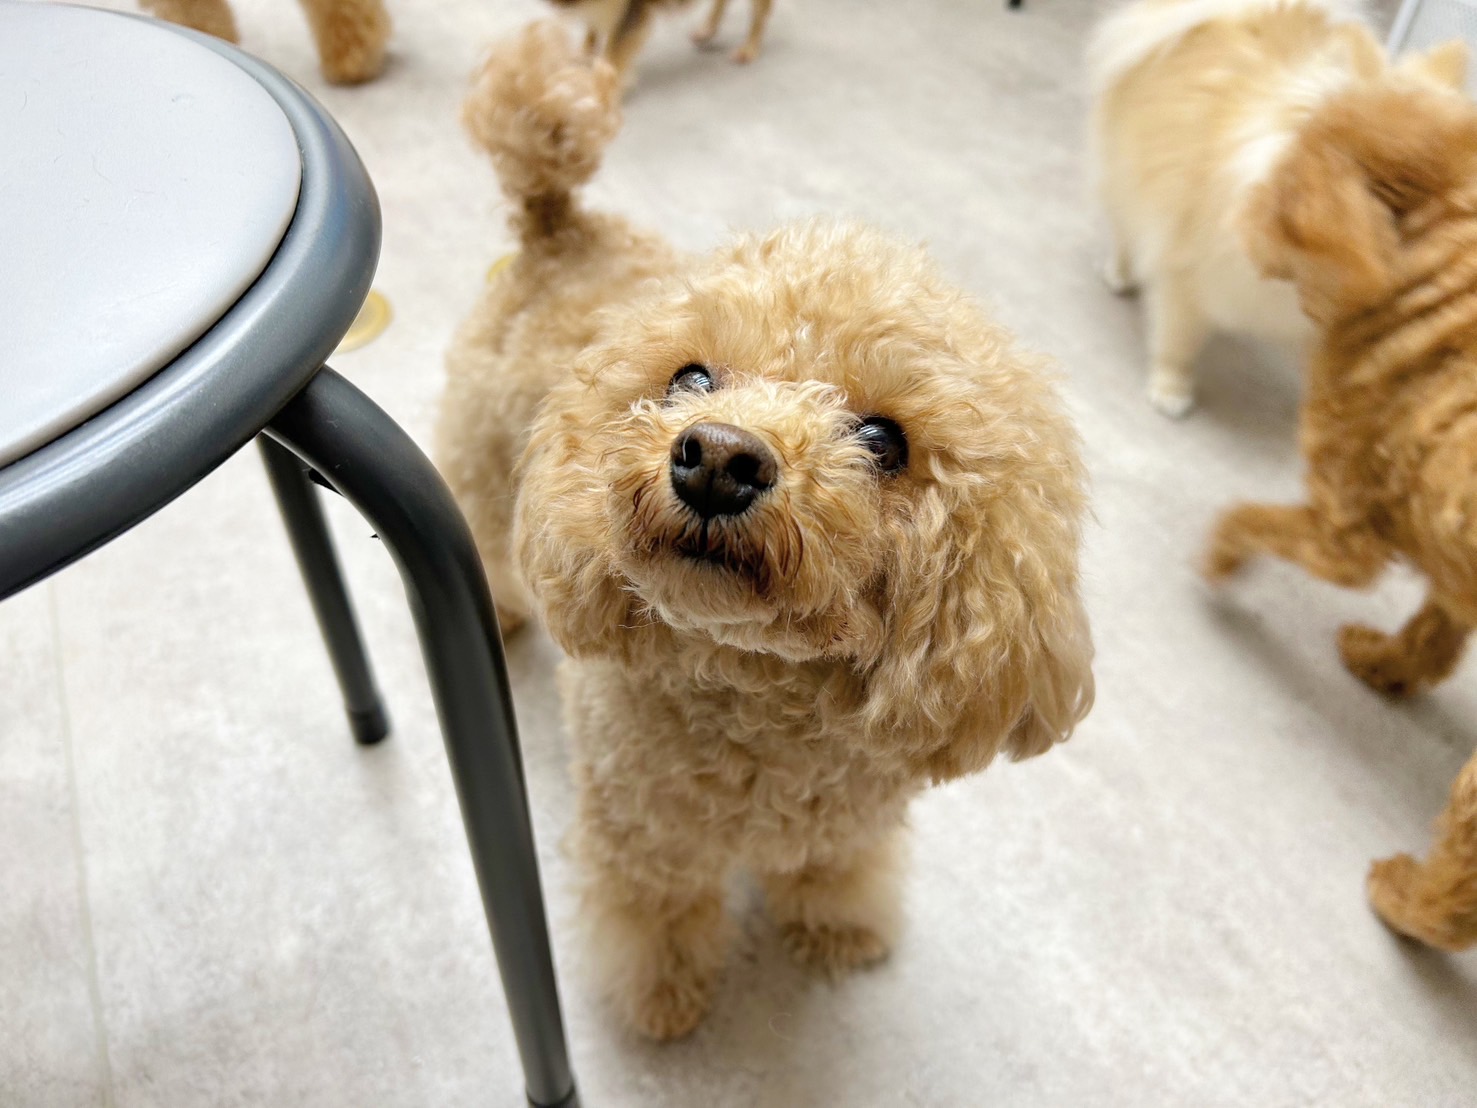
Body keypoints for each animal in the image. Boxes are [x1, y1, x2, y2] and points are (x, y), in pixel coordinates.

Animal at [438, 22, 1095, 1038]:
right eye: (691, 379)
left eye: (883, 440)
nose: (717, 460)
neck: (758, 709)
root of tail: (560, 225)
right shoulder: (645, 838)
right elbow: (659, 915)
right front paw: (664, 1000)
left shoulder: (848, 821)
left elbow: (833, 870)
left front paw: (837, 931)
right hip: (480, 450)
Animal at [547, 0, 773, 82]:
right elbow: (592, 30)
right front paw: (582, 55)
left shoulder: (630, 13)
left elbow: (611, 58)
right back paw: (707, 29)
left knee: (761, 10)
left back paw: (749, 48)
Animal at [1088, 0, 1465, 417]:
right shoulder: (1187, 272)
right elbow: (1177, 339)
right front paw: (1171, 388)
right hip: (1124, 169)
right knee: (1124, 222)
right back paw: (1121, 272)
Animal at [1203, 75, 1477, 950]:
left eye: (1288, 183)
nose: (1240, 209)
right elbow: (1432, 626)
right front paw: (1387, 664)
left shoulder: (1340, 529)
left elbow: (1249, 520)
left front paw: (1218, 556)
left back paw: (1405, 903)